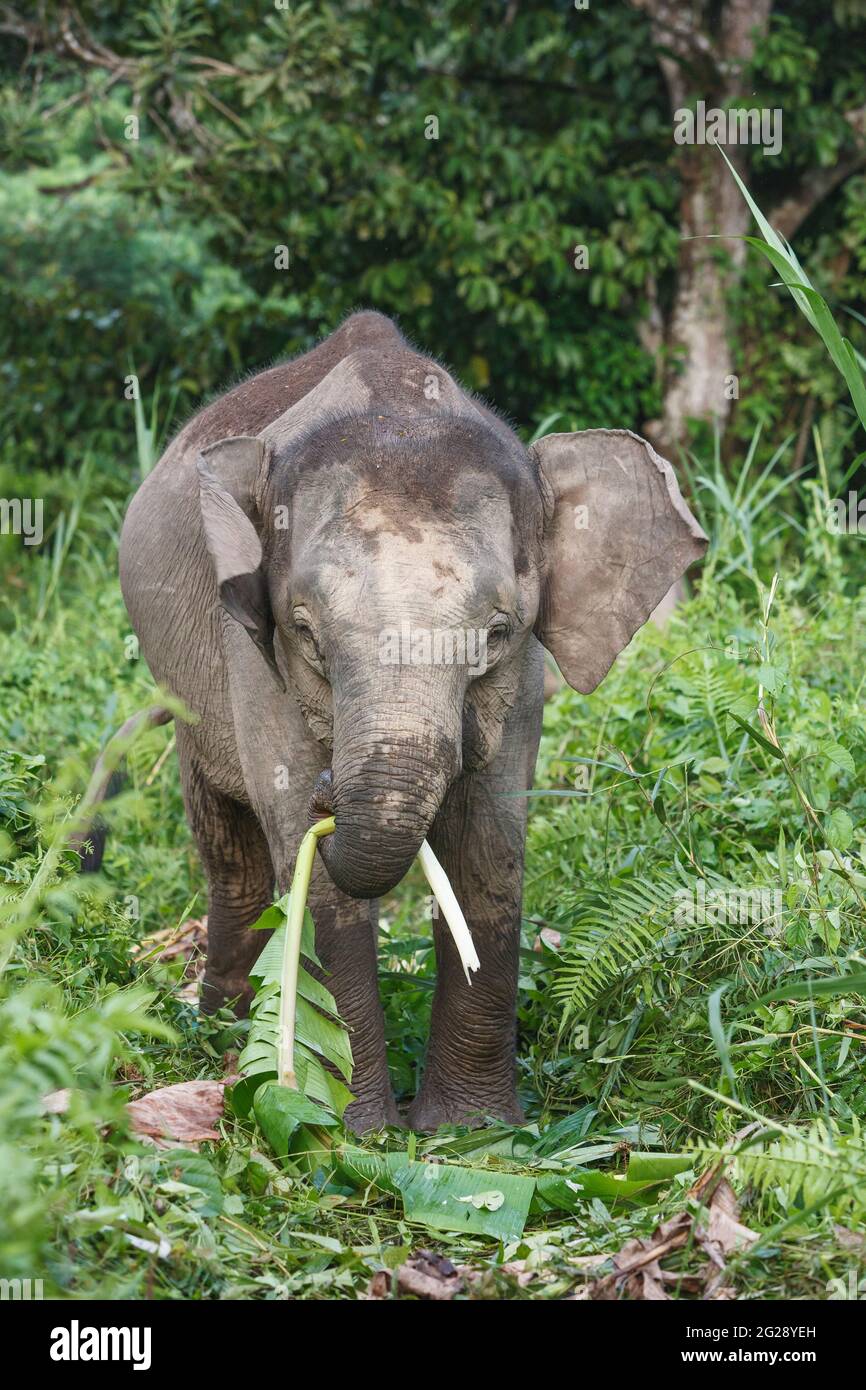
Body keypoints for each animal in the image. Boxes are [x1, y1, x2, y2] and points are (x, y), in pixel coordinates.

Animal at [118, 309, 708, 1134]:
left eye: (497, 633)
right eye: (307, 632)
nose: (335, 785)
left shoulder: (522, 679)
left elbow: (489, 843)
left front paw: (473, 1133)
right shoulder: (251, 653)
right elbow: (308, 859)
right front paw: (345, 1130)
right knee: (230, 851)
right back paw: (222, 1038)